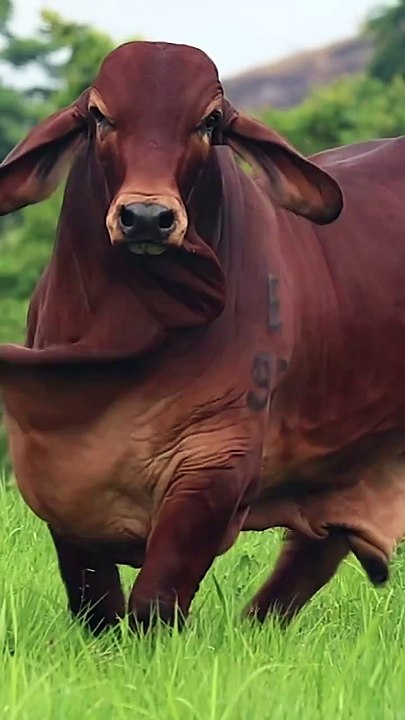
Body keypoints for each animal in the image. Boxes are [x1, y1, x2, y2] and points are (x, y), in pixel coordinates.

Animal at [0, 40, 403, 635]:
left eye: (209, 121)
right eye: (99, 114)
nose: (148, 217)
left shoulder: (216, 461)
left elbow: (155, 599)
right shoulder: (52, 464)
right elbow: (96, 603)